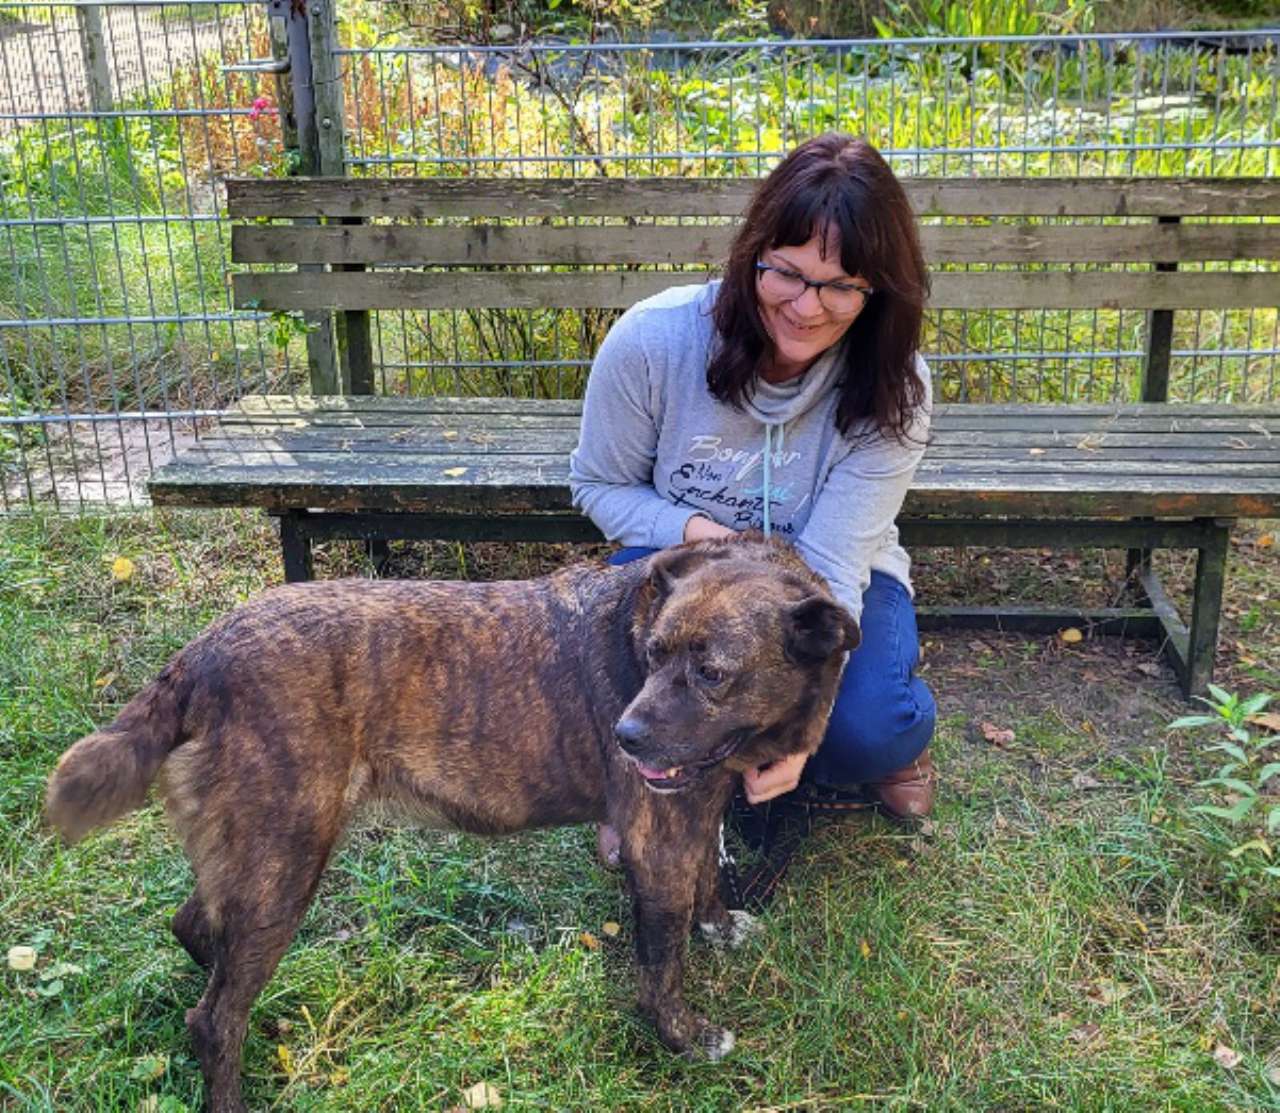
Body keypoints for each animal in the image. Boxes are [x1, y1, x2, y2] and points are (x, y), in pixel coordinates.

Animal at [45, 533, 859, 1113]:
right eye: (653, 654)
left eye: (713, 672)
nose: (625, 737)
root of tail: (198, 655)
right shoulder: (656, 843)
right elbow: (662, 964)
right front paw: (684, 1039)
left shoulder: (695, 805)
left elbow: (705, 883)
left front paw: (719, 924)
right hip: (285, 858)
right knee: (213, 1018)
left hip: (254, 855)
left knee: (195, 930)